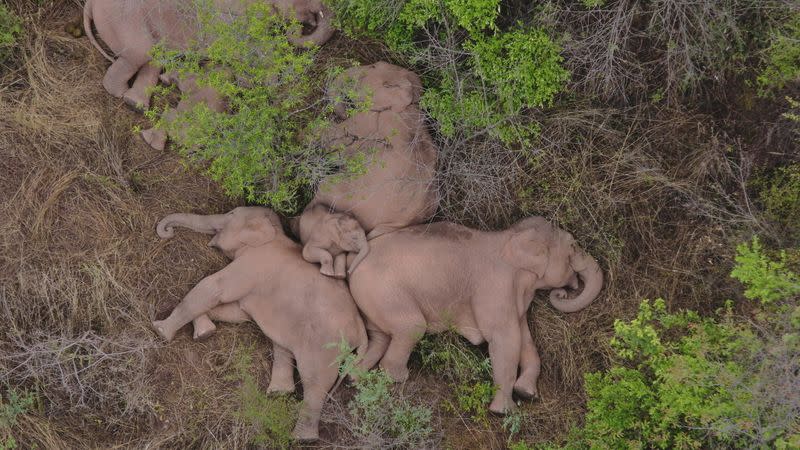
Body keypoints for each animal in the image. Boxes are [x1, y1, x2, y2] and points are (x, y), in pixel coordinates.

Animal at [152, 206, 368, 442]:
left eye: (230, 215)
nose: (168, 231)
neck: (273, 232)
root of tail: (361, 331)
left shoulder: (252, 264)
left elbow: (214, 288)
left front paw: (160, 330)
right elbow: (235, 312)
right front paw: (205, 333)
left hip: (326, 345)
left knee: (315, 381)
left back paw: (301, 437)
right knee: (282, 346)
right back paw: (278, 393)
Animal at [346, 218, 604, 414]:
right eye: (573, 246)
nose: (562, 292)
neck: (511, 236)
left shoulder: (514, 299)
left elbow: (525, 339)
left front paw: (527, 393)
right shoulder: (495, 288)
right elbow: (505, 340)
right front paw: (503, 412)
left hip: (372, 300)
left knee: (379, 338)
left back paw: (355, 379)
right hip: (383, 291)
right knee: (411, 328)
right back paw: (397, 378)